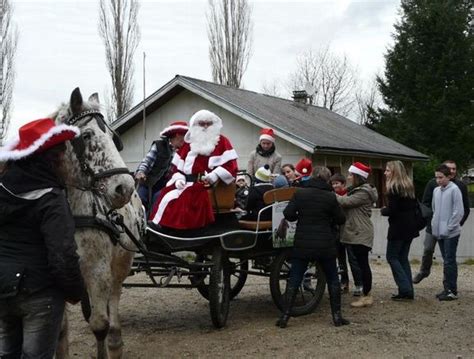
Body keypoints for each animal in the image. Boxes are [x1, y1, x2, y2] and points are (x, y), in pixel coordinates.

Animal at [51, 88, 144, 359]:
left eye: (114, 138)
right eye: (87, 135)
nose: (125, 187)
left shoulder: (98, 270)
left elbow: (99, 324)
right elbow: (60, 333)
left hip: (121, 264)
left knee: (113, 301)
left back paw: (115, 340)